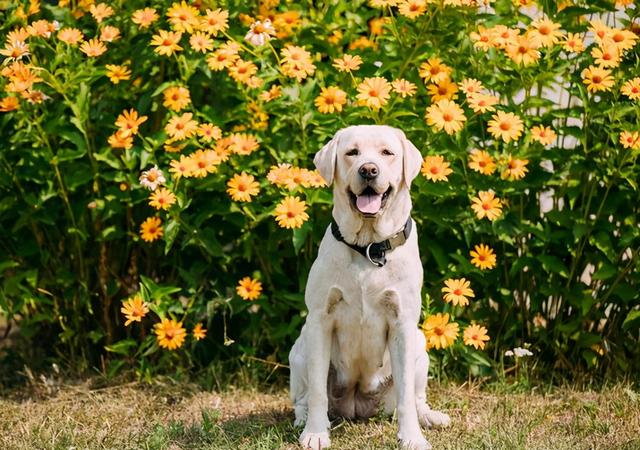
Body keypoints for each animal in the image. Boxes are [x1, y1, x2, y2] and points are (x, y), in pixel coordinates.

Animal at [290, 124, 450, 450]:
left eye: (387, 153)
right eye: (352, 152)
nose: (368, 170)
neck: (369, 247)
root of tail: (356, 405)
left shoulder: (402, 323)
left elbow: (406, 397)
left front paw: (412, 438)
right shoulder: (320, 320)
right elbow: (317, 392)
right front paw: (315, 433)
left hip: (420, 346)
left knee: (416, 398)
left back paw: (430, 417)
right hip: (299, 348)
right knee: (303, 397)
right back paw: (303, 420)